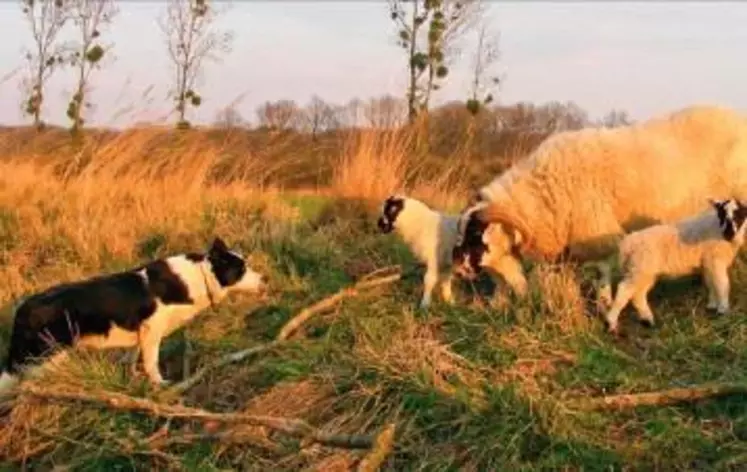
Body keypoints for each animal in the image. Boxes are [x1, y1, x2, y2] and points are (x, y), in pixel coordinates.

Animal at [452, 105, 747, 308]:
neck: (542, 193)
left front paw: (604, 305)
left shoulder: (597, 234)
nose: (457, 268)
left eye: (476, 234)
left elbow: (602, 273)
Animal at [604, 197, 747, 334]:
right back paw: (611, 323)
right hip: (639, 269)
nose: (729, 234)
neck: (716, 228)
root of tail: (627, 245)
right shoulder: (715, 260)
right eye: (722, 214)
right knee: (624, 291)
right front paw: (723, 309)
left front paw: (712, 305)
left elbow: (711, 283)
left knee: (638, 294)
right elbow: (722, 284)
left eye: (739, 214)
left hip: (643, 271)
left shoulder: (708, 263)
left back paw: (648, 320)